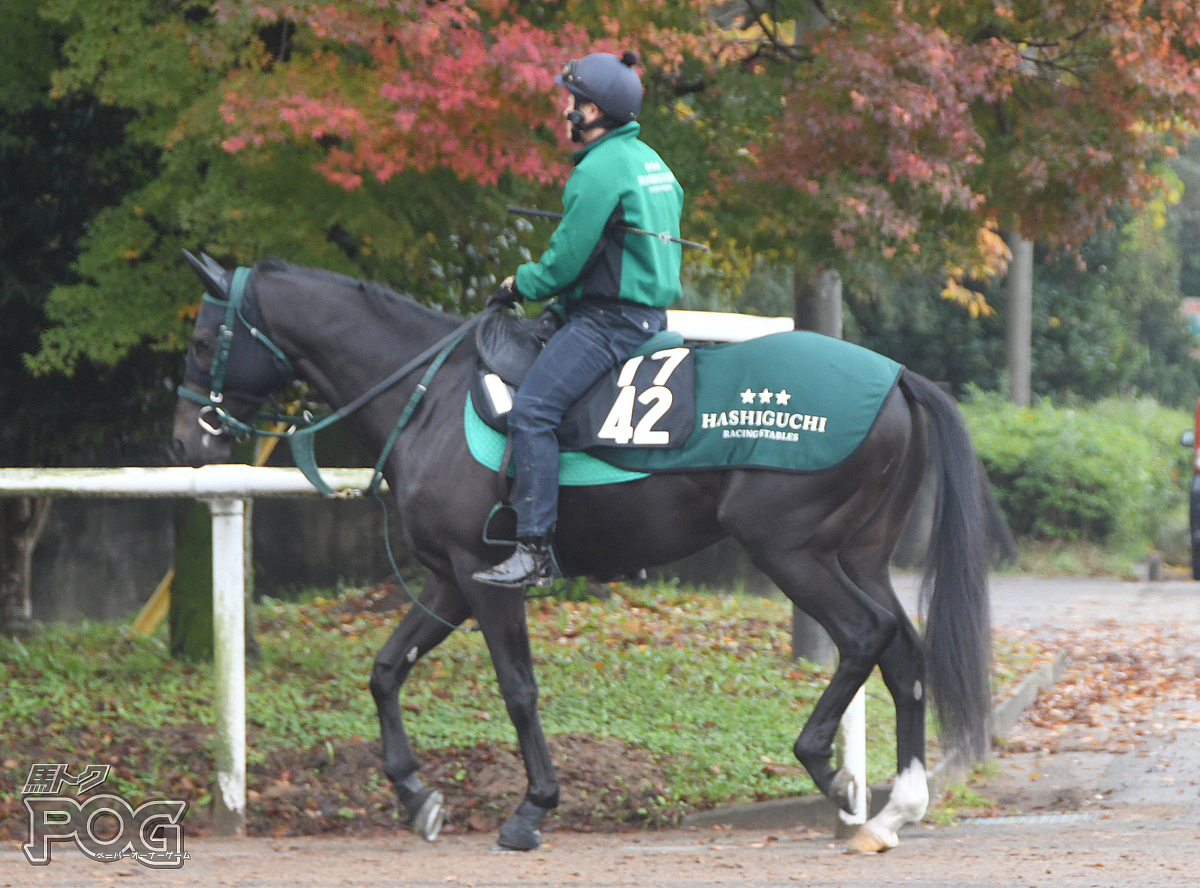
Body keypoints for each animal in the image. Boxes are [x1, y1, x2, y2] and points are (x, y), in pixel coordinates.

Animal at [171, 254, 993, 854]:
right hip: (857, 556)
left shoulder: (489, 579)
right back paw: (897, 806)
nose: (183, 440)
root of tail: (895, 376)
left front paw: (532, 807)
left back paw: (828, 768)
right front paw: (415, 793)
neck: (430, 395)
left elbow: (518, 689)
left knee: (865, 637)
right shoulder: (450, 578)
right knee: (904, 653)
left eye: (204, 340)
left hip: (792, 551)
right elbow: (385, 670)